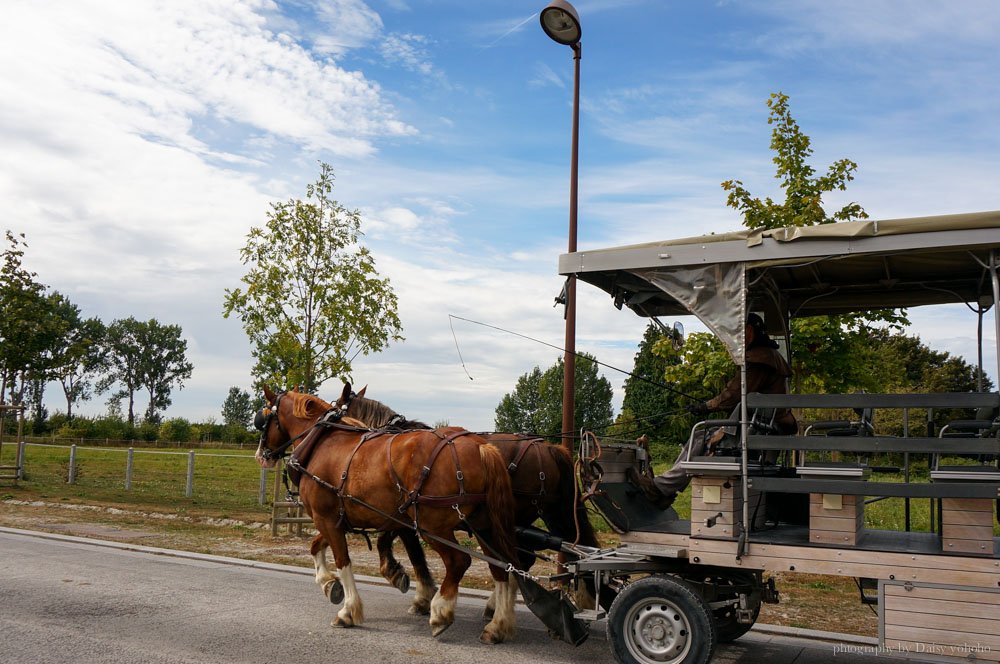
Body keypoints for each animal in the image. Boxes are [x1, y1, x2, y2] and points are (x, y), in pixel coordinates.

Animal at [258, 386, 520, 640]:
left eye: (263, 418)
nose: (261, 455)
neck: (320, 442)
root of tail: (480, 446)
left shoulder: (329, 519)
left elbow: (344, 560)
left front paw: (348, 609)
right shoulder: (338, 519)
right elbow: (316, 546)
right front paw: (329, 583)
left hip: (432, 525)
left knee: (459, 561)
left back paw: (441, 612)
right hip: (484, 525)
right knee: (504, 566)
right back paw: (497, 624)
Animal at [332, 382, 596, 616]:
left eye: (337, 409)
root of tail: (550, 448)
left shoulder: (402, 513)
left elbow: (405, 549)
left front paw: (409, 586)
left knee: (523, 557)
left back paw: (495, 606)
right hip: (548, 511)